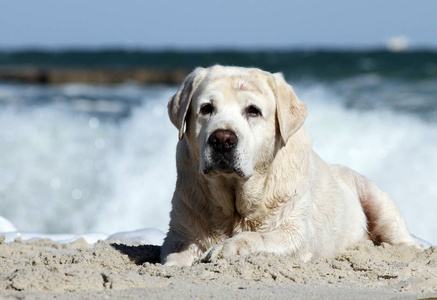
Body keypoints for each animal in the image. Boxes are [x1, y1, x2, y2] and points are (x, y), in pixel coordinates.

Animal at [161, 65, 418, 264]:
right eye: (206, 108)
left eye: (253, 111)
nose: (222, 139)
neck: (234, 207)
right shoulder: (180, 235)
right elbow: (175, 257)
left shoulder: (295, 232)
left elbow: (260, 236)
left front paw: (228, 246)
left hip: (375, 197)